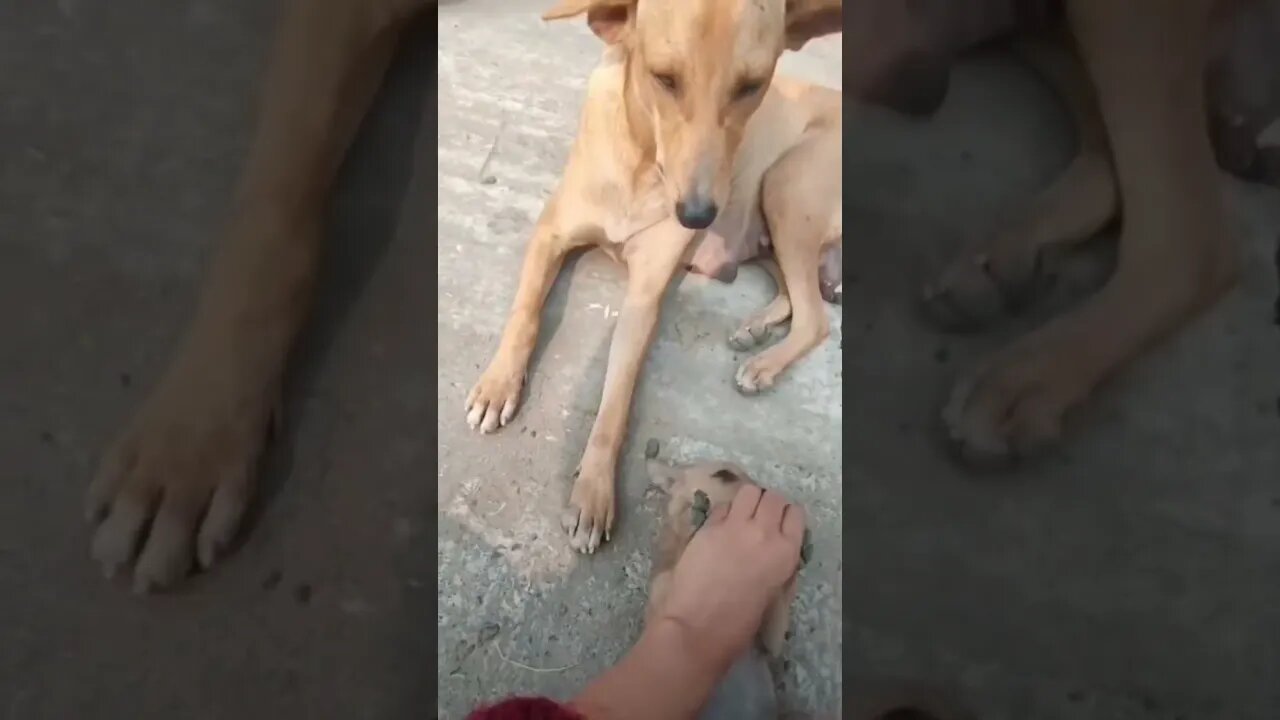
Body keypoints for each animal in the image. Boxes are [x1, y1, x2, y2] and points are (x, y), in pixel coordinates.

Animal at [465, 0, 844, 550]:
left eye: (751, 86)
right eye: (663, 79)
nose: (698, 214)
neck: (640, 160)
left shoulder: (644, 296)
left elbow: (616, 399)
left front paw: (594, 491)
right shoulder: (550, 234)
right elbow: (525, 312)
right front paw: (498, 385)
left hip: (786, 186)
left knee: (816, 317)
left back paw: (762, 365)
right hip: (773, 213)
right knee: (797, 295)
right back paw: (755, 329)